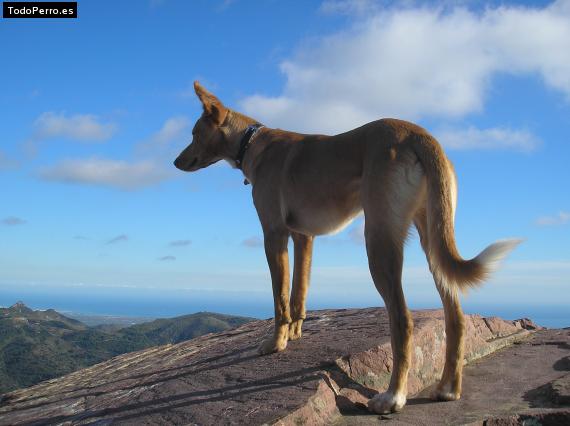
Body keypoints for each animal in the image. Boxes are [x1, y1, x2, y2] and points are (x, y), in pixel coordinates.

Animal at [174, 81, 520, 414]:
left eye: (193, 133)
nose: (175, 162)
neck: (252, 142)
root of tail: (420, 135)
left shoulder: (274, 235)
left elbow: (280, 299)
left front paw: (275, 343)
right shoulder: (303, 237)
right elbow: (299, 294)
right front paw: (295, 334)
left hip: (379, 242)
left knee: (402, 319)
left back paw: (393, 397)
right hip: (432, 236)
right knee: (455, 315)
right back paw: (449, 389)